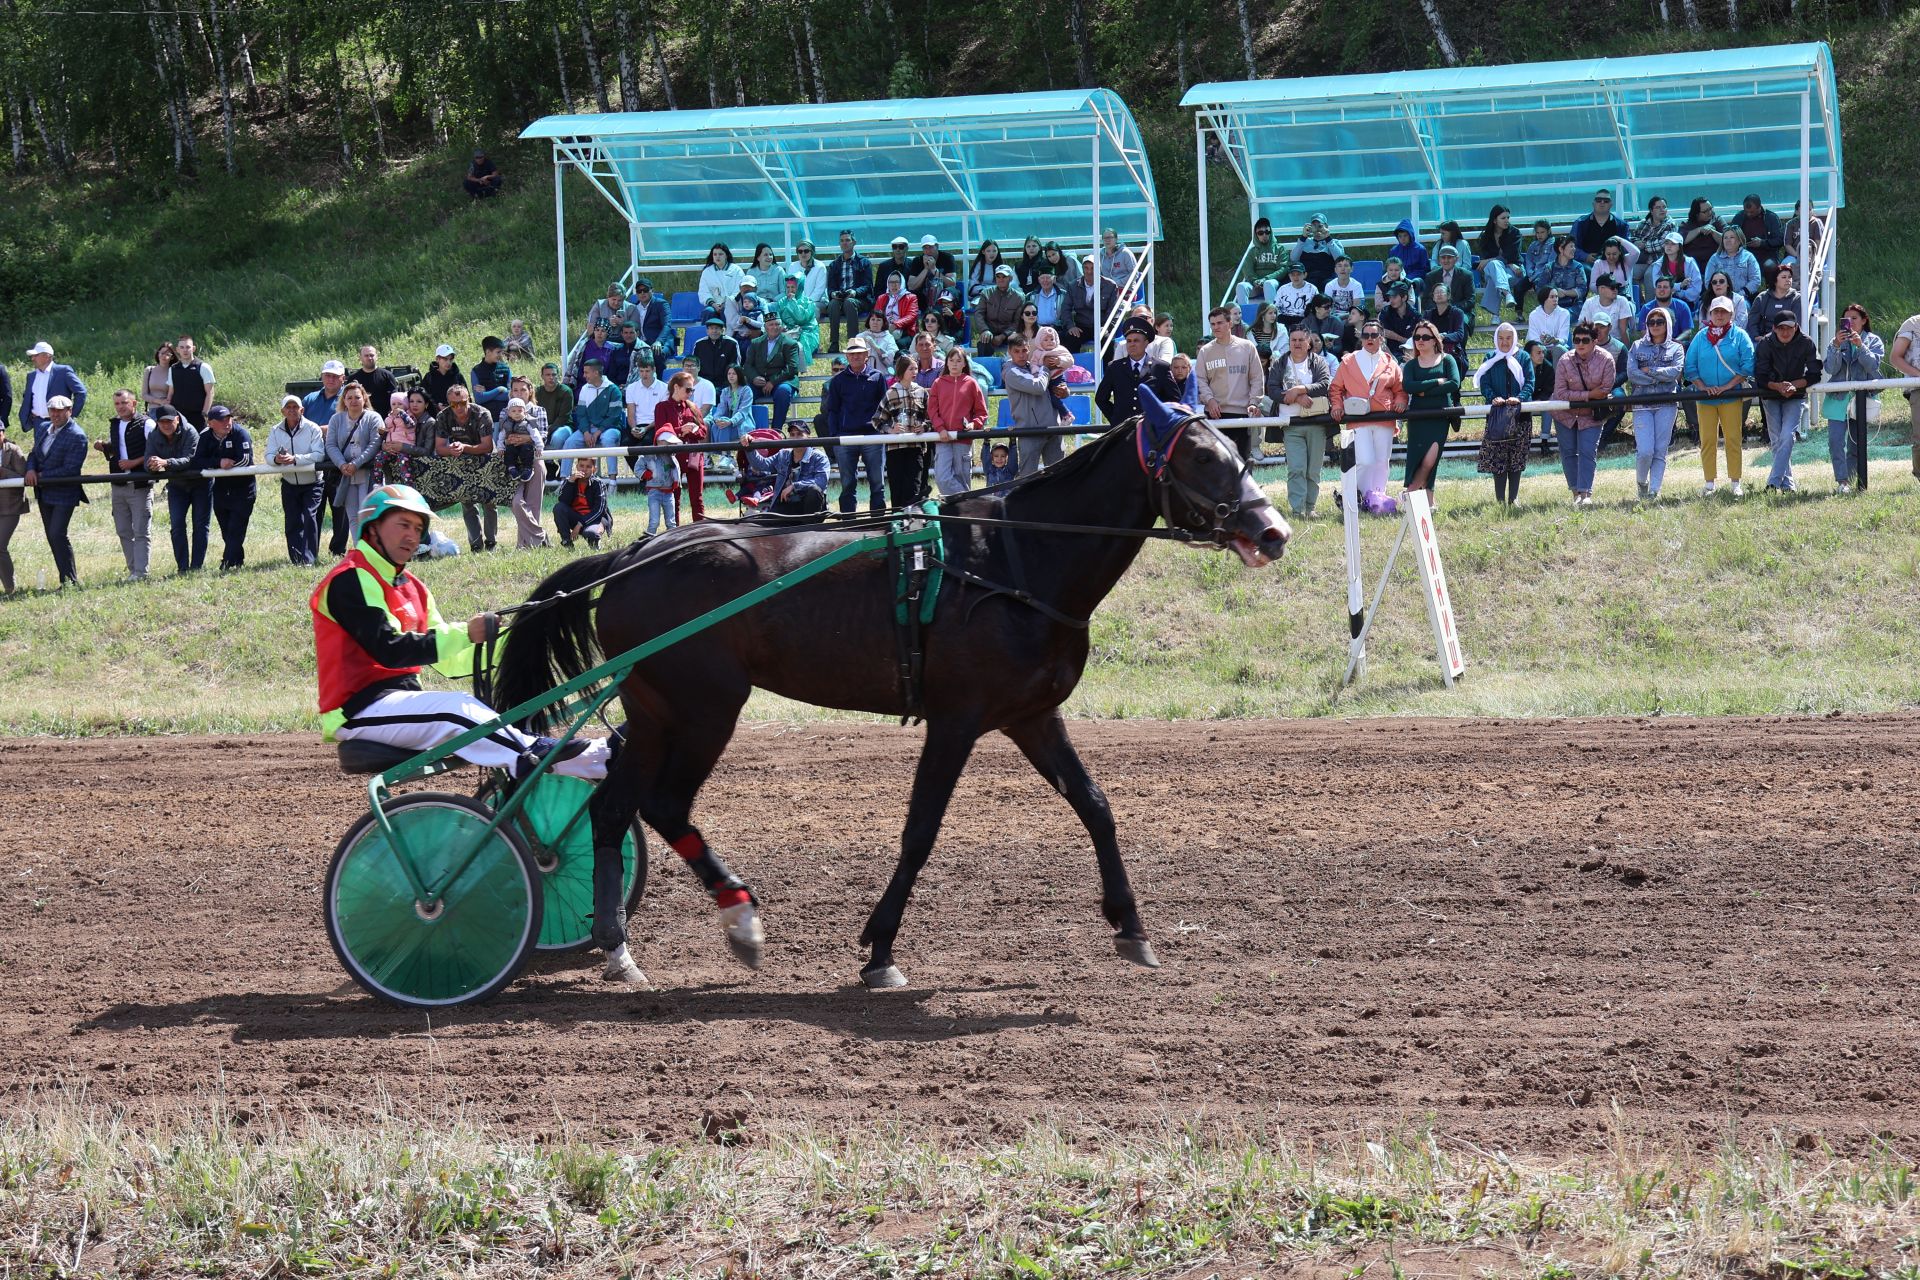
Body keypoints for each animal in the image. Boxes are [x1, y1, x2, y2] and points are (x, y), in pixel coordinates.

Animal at [495, 410, 1290, 990]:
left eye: (1238, 449)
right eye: (1202, 458)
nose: (1273, 530)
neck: (1014, 560)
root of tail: (634, 553)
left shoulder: (1033, 717)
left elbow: (1095, 806)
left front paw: (1131, 925)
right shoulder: (957, 719)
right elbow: (921, 831)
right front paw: (880, 950)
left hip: (656, 710)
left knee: (614, 808)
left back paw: (618, 943)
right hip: (706, 708)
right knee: (663, 804)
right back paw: (735, 920)